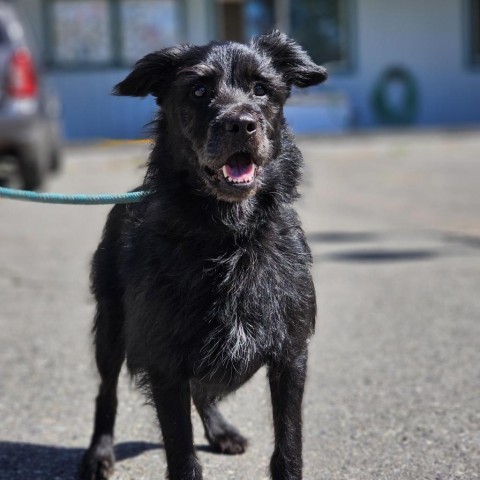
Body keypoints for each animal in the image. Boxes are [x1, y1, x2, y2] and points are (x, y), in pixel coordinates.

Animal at [79, 30, 326, 480]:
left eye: (260, 88)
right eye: (198, 90)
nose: (240, 123)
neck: (230, 236)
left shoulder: (290, 355)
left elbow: (289, 448)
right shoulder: (165, 365)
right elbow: (182, 456)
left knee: (203, 391)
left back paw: (220, 429)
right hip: (110, 329)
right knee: (106, 394)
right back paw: (99, 453)